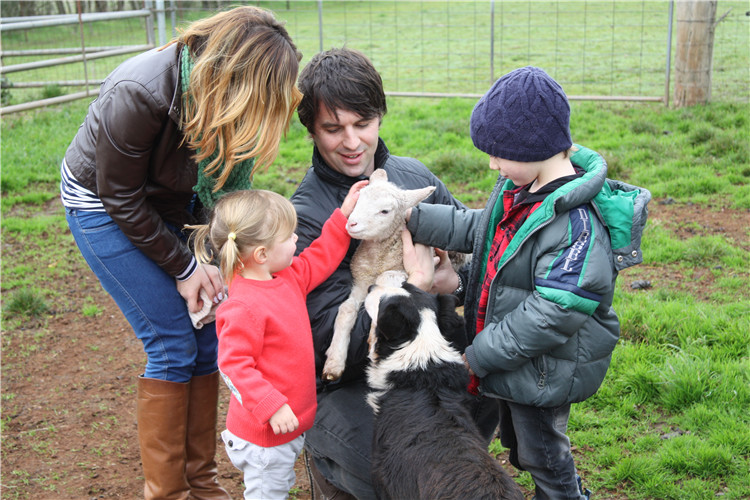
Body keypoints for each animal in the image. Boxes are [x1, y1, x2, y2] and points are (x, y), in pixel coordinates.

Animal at [322, 170, 438, 380]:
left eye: (385, 211)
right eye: (358, 199)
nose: (351, 223)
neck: (378, 260)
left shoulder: (399, 271)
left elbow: (385, 282)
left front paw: (374, 335)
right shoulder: (361, 280)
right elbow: (346, 309)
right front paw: (334, 362)